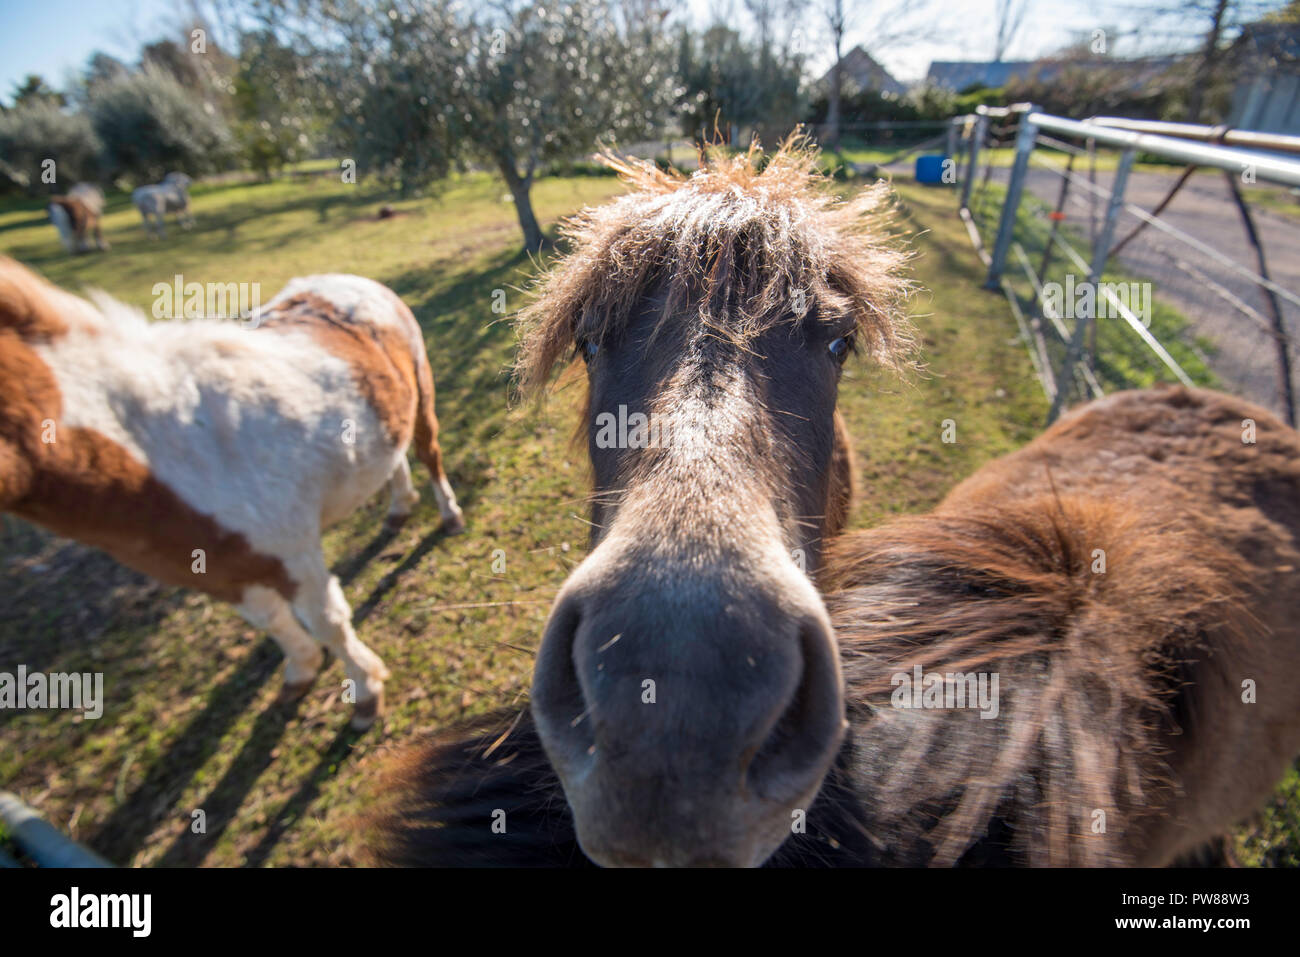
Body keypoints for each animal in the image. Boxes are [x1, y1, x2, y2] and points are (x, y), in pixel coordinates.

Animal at [0, 259, 465, 729]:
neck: (165, 449)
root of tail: (351, 281)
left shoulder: (293, 555)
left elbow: (326, 621)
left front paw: (366, 691)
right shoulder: (221, 571)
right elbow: (271, 621)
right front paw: (302, 670)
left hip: (421, 388)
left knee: (428, 452)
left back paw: (449, 516)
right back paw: (399, 509)